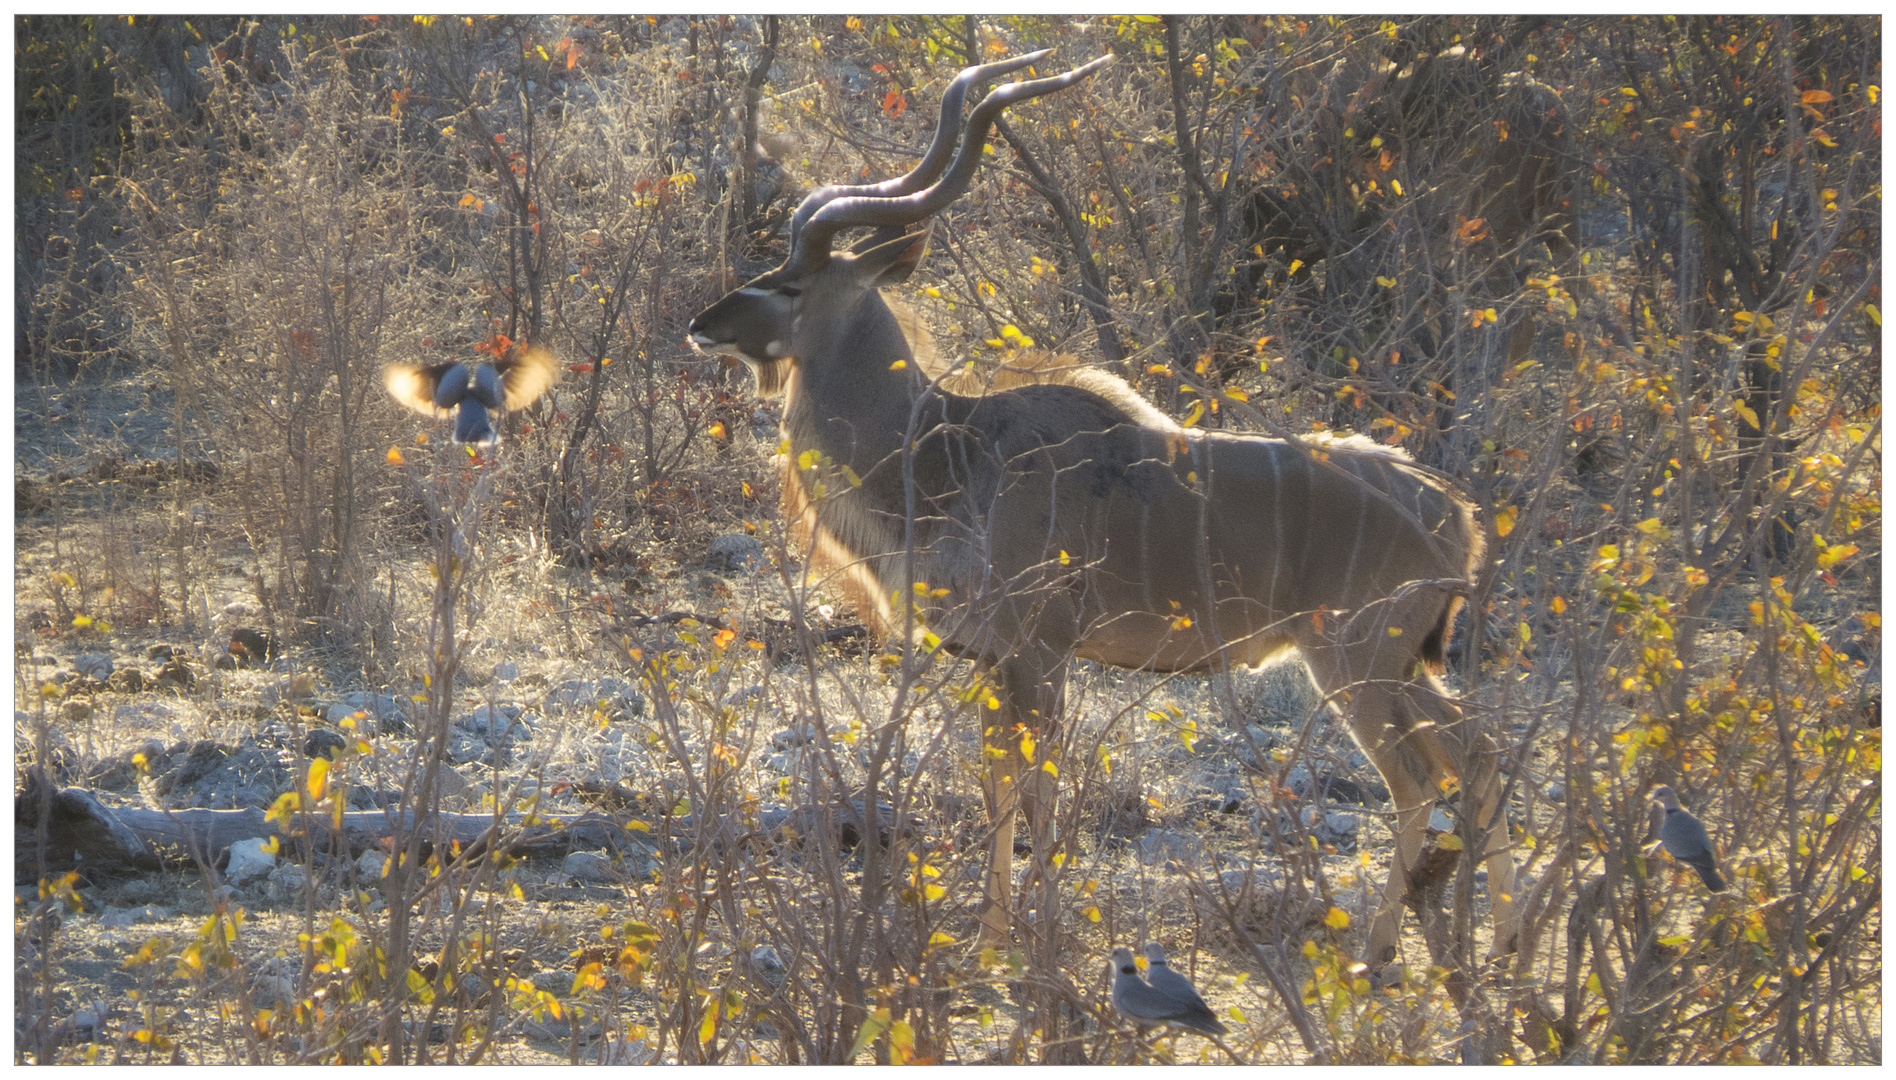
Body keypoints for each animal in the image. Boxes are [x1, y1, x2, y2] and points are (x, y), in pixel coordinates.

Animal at [690, 52, 1516, 966]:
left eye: (790, 283)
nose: (702, 324)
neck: (940, 454)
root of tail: (1458, 520)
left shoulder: (1041, 652)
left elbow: (1039, 790)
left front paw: (1038, 944)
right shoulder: (996, 662)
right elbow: (998, 785)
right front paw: (989, 940)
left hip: (1354, 658)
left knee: (1421, 777)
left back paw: (1381, 954)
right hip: (1404, 664)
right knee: (1479, 754)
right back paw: (1498, 949)